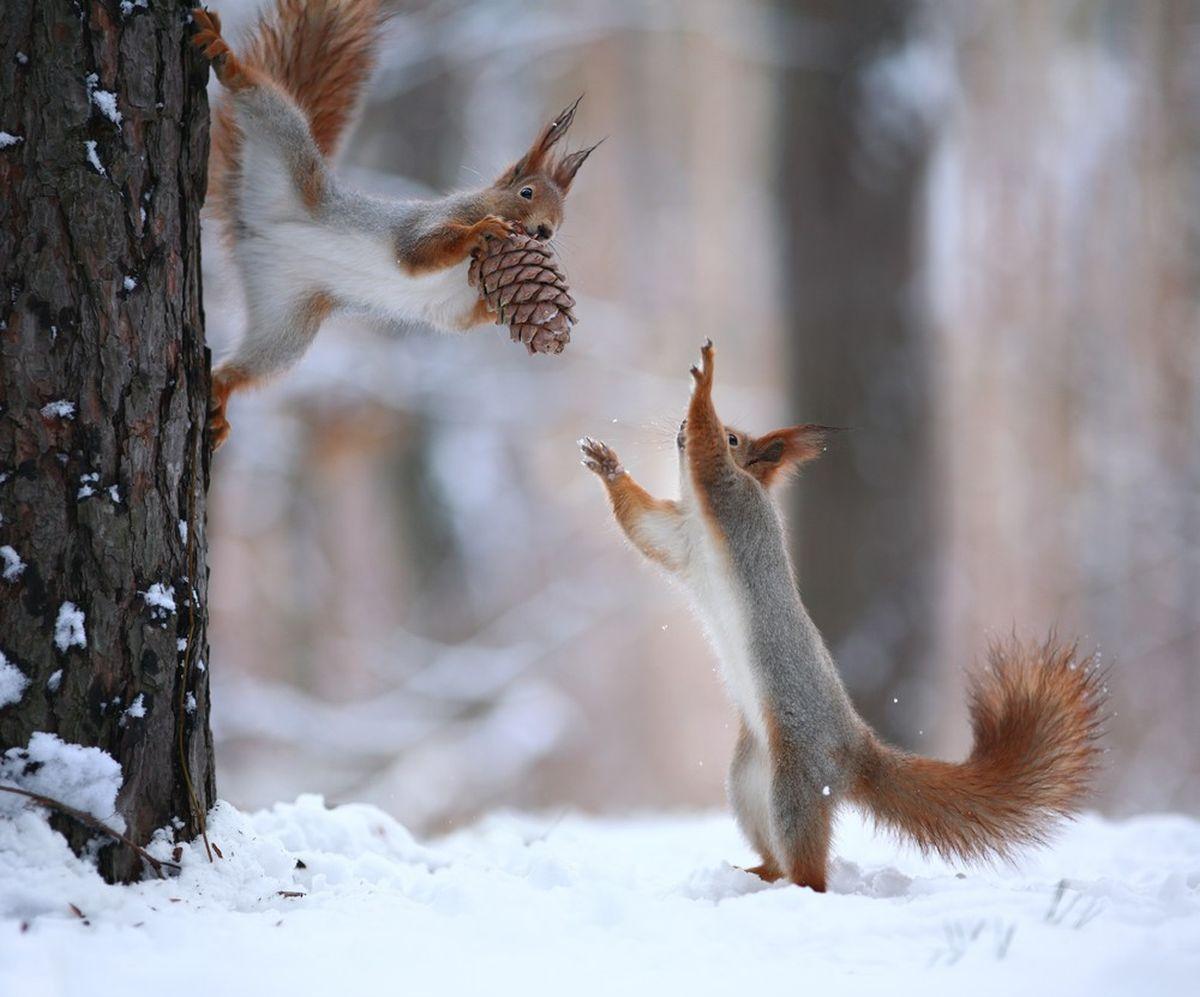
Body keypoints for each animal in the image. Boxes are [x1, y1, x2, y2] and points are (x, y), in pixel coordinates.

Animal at [189, 0, 597, 443]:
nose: (545, 231)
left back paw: (221, 394)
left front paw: (505, 309)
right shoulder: (428, 222)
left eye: (562, 218)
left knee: (250, 365)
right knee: (260, 98)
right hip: (285, 148)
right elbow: (418, 252)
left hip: (286, 321)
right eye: (526, 193)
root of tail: (252, 230)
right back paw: (224, 56)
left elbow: (459, 320)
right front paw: (482, 231)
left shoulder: (454, 304)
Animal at [580, 338, 1104, 892]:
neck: (701, 519)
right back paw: (756, 873)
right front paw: (606, 463)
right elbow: (642, 527)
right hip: (747, 783)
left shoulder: (730, 497)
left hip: (796, 781)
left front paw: (706, 382)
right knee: (776, 852)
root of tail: (856, 751)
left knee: (812, 869)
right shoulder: (680, 542)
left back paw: (794, 887)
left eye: (735, 436)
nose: (678, 427)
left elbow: (710, 460)